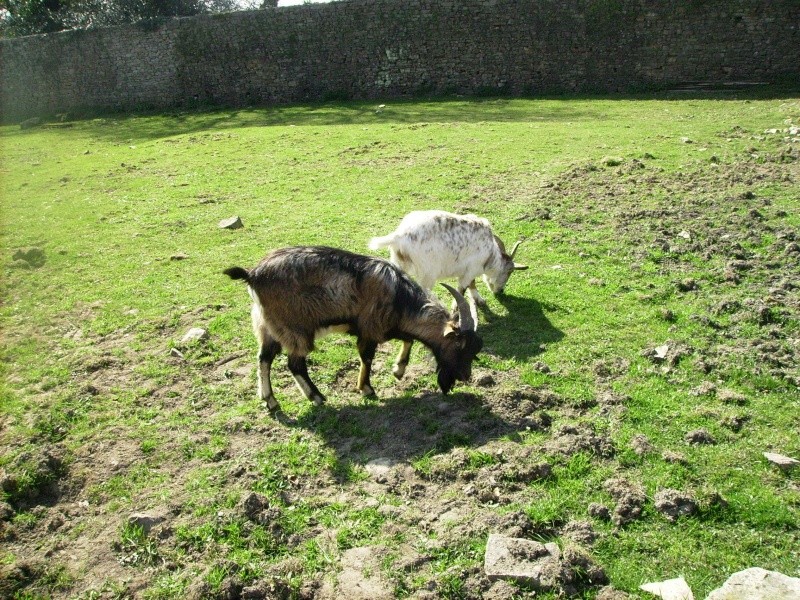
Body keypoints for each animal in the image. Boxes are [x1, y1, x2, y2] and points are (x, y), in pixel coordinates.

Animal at [223, 246, 482, 410]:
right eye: (460, 346)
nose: (465, 376)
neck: (400, 298)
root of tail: (253, 275)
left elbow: (407, 339)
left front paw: (398, 370)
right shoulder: (368, 329)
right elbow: (367, 358)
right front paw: (366, 388)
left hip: (268, 327)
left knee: (264, 358)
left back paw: (270, 401)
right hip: (295, 329)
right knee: (294, 364)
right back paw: (316, 397)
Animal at [368, 211, 524, 378]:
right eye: (509, 271)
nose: (500, 291)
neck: (490, 255)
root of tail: (400, 236)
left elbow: (472, 284)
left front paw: (479, 299)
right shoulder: (469, 270)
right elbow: (462, 289)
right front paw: (458, 312)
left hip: (398, 264)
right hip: (428, 274)